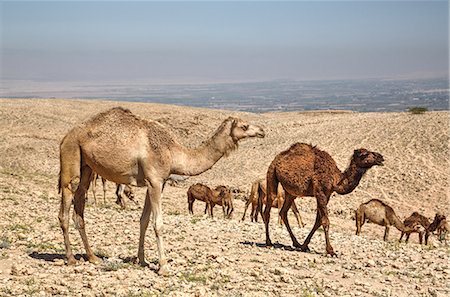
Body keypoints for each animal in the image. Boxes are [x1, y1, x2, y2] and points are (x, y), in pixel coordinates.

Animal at [58, 106, 266, 272]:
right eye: (245, 126)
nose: (262, 131)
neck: (174, 153)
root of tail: (65, 137)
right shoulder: (155, 181)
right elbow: (157, 223)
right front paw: (163, 266)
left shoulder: (158, 182)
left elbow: (143, 220)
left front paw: (142, 260)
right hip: (71, 154)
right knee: (66, 204)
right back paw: (71, 258)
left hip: (87, 166)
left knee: (80, 205)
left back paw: (93, 257)